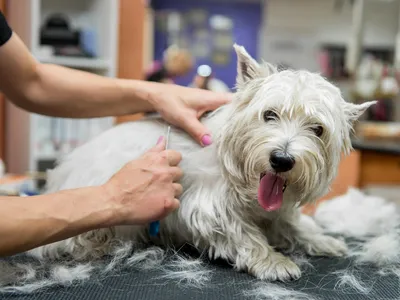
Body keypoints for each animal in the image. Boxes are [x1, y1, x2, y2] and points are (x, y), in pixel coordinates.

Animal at [6, 44, 376, 288]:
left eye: (318, 129)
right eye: (269, 114)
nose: (281, 160)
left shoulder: (275, 209)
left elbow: (292, 222)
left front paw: (322, 240)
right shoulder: (206, 207)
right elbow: (244, 233)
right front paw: (273, 260)